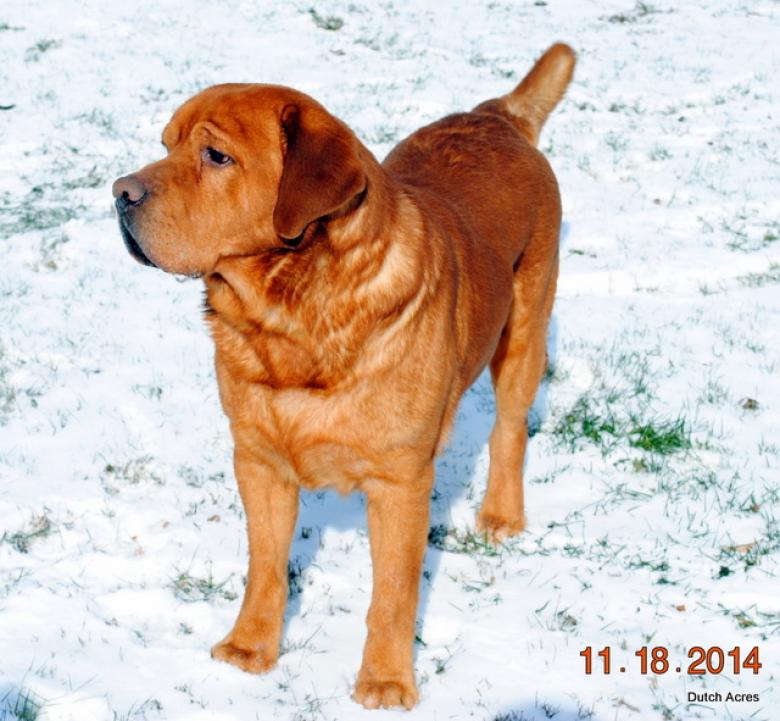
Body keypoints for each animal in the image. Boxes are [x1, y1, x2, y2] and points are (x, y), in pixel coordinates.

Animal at [111, 43, 572, 708]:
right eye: (166, 144)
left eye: (216, 155)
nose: (119, 192)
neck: (291, 318)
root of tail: (495, 115)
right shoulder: (258, 460)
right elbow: (266, 567)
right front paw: (249, 650)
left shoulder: (401, 480)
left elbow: (394, 595)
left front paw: (385, 681)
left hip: (525, 328)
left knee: (509, 427)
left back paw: (502, 518)